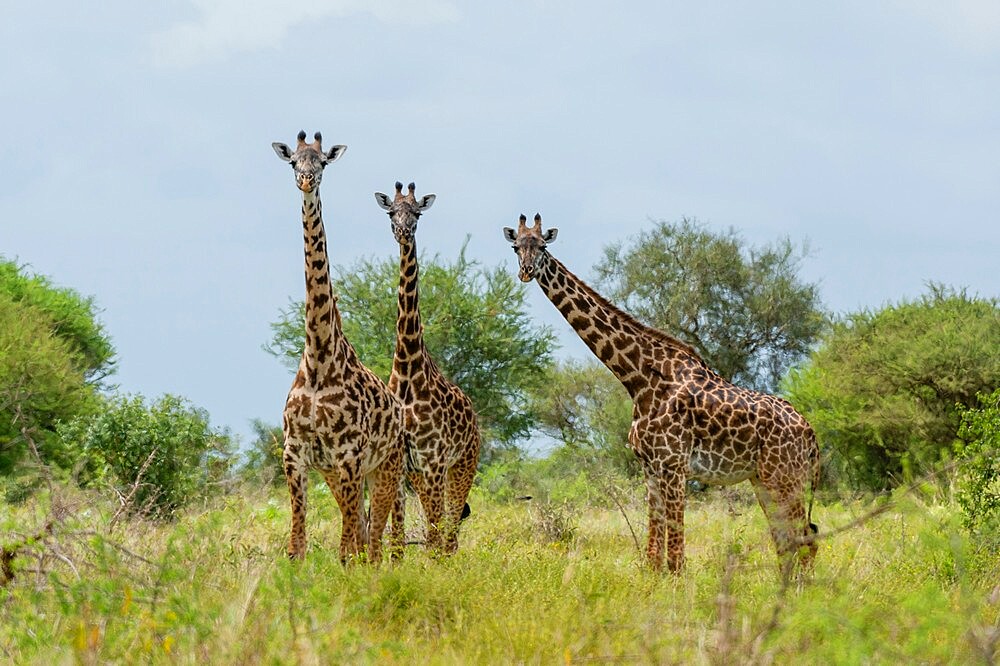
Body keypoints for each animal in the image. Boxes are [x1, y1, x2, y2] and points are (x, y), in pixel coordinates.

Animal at [272, 132, 404, 564]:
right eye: (293, 161)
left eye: (323, 163)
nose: (306, 181)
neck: (318, 355)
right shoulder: (296, 454)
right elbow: (297, 546)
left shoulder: (348, 455)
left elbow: (347, 550)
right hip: (340, 472)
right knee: (364, 531)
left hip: (385, 467)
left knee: (376, 539)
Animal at [376, 180, 482, 548]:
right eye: (391, 212)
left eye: (417, 213)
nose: (403, 231)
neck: (408, 370)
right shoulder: (403, 463)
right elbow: (397, 536)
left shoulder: (434, 460)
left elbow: (435, 537)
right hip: (425, 475)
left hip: (463, 464)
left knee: (450, 534)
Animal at [500, 215, 820, 572]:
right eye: (516, 247)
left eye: (542, 246)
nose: (526, 271)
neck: (638, 379)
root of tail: (810, 433)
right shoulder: (650, 468)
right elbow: (654, 554)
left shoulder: (674, 466)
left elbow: (676, 556)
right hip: (763, 479)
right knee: (787, 541)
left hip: (785, 477)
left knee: (806, 539)